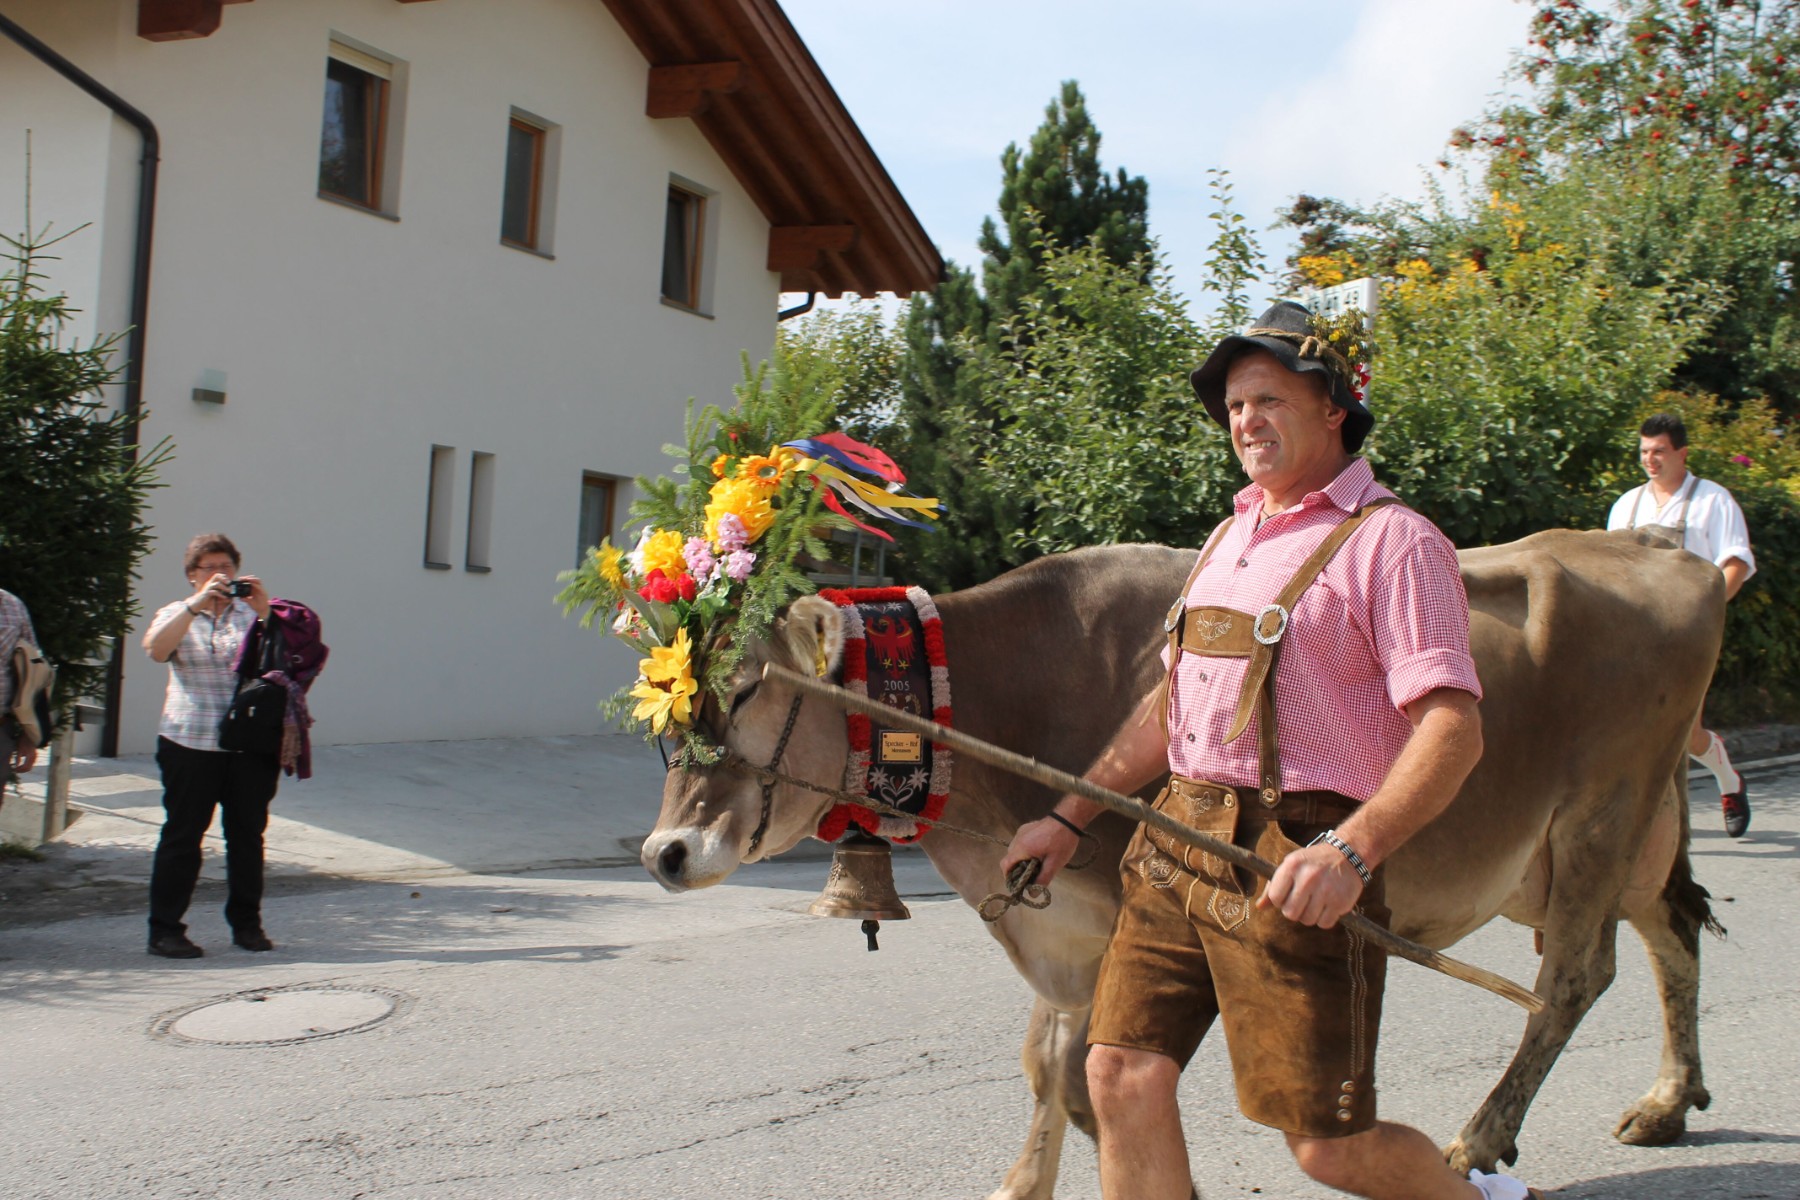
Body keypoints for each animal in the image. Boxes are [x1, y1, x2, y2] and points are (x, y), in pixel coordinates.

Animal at [640, 528, 1720, 1200]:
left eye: (745, 690)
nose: (663, 852)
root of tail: (1669, 556)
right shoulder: (1063, 921)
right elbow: (1052, 1066)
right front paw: (1028, 1179)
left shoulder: (1123, 918)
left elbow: (1086, 1075)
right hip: (1607, 845)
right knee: (1671, 936)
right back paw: (1669, 1101)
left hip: (1597, 820)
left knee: (1572, 978)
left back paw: (1484, 1138)